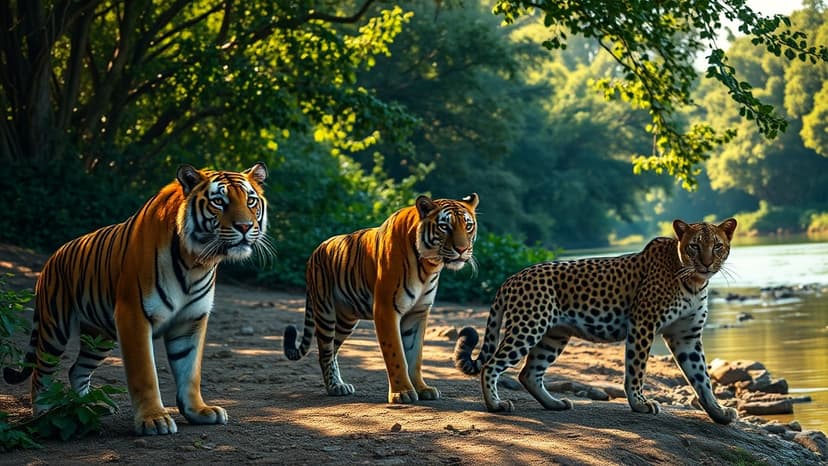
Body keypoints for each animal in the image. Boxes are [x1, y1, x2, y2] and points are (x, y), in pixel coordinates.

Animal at [3, 163, 270, 435]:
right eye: (218, 202)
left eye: (250, 201)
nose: (245, 227)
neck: (196, 262)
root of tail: (52, 257)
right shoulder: (134, 314)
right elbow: (145, 373)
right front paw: (154, 419)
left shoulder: (192, 319)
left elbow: (190, 371)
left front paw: (199, 411)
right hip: (55, 327)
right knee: (41, 371)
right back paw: (43, 414)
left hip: (98, 337)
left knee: (77, 370)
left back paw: (90, 407)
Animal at [283, 194, 479, 404]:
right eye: (444, 226)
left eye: (468, 226)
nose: (463, 249)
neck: (429, 266)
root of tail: (314, 252)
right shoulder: (386, 309)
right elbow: (396, 354)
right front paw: (402, 392)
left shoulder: (418, 313)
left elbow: (415, 356)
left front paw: (422, 388)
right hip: (325, 311)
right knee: (325, 352)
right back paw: (334, 387)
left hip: (346, 320)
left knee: (331, 350)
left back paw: (340, 385)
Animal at [454, 218, 738, 424]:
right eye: (694, 246)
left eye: (717, 246)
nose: (706, 263)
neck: (695, 281)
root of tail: (510, 278)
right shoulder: (643, 324)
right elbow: (636, 368)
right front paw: (640, 403)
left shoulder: (686, 336)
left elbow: (702, 377)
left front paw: (718, 412)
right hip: (528, 326)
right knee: (491, 365)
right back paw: (495, 405)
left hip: (554, 335)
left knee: (529, 373)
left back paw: (555, 404)